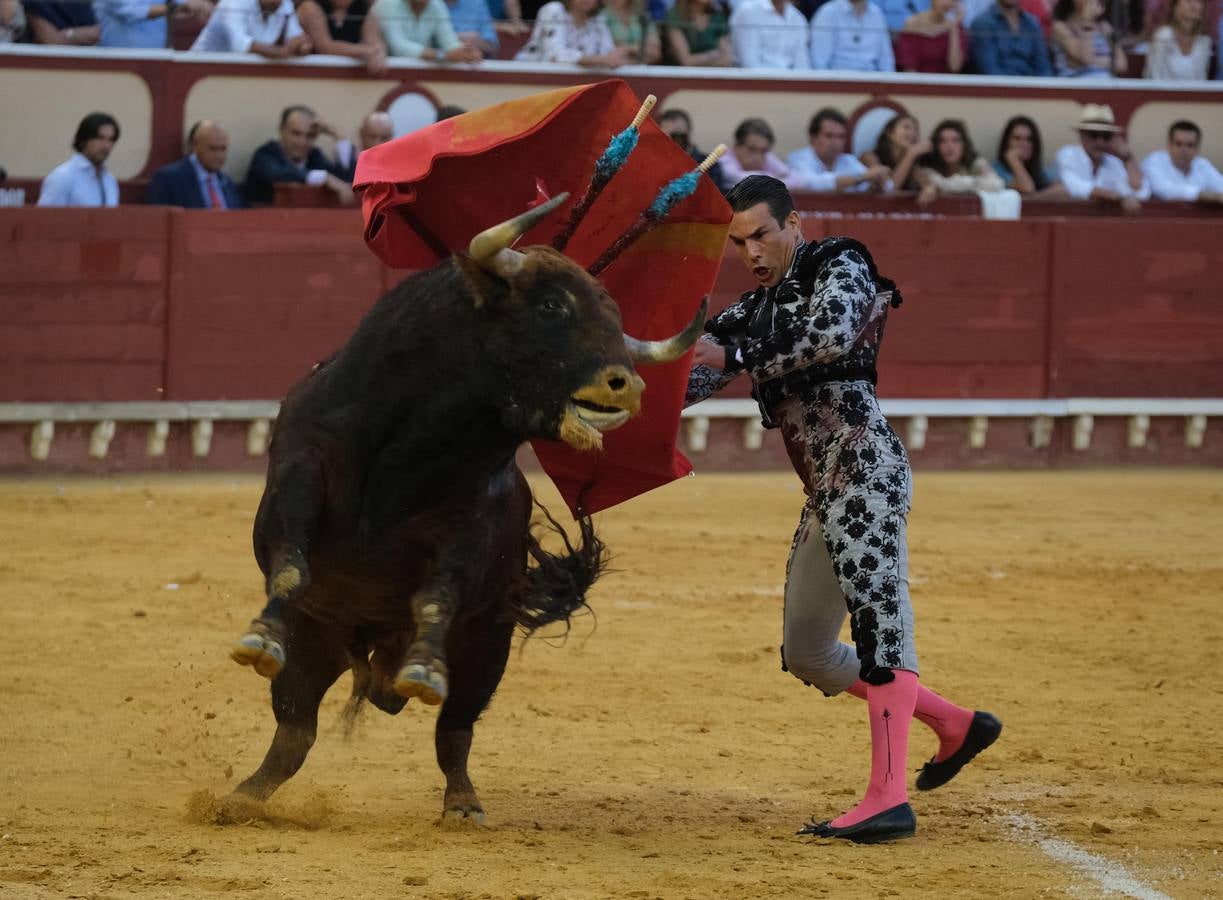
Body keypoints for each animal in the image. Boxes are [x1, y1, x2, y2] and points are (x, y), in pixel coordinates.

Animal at [225, 195, 704, 821]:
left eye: (614, 317)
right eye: (552, 305)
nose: (627, 385)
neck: (412, 448)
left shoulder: (469, 526)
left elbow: (437, 596)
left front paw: (426, 670)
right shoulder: (299, 471)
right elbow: (289, 566)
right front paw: (259, 637)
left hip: (485, 652)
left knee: (452, 733)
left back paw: (462, 802)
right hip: (317, 644)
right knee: (294, 731)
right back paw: (240, 797)